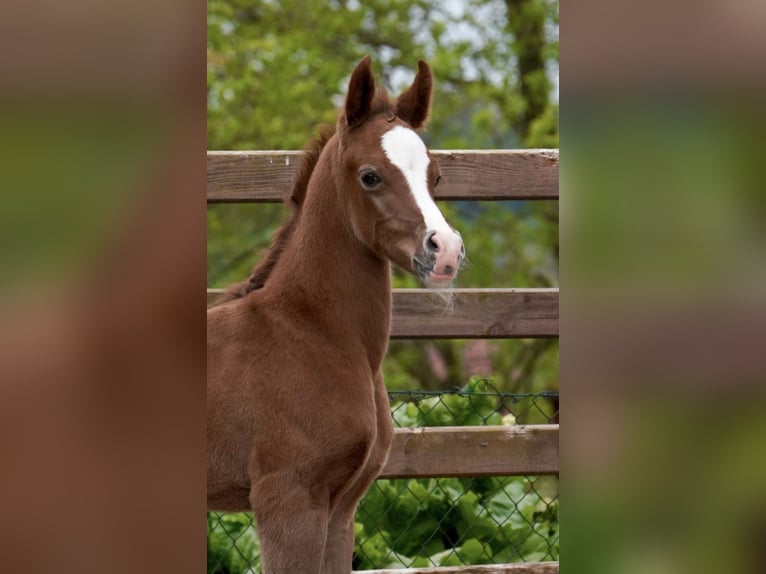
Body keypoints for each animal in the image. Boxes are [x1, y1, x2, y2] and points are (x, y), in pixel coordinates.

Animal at [207, 55, 464, 574]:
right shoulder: (289, 499)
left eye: (436, 176)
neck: (310, 332)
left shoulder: (342, 509)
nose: (445, 251)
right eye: (370, 176)